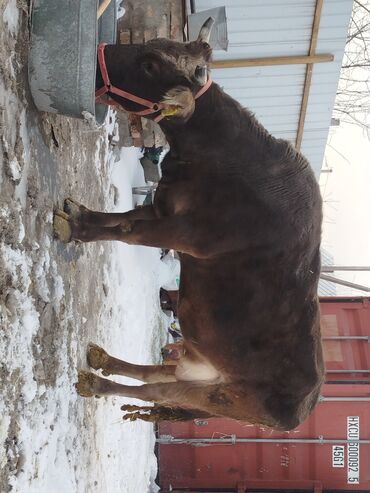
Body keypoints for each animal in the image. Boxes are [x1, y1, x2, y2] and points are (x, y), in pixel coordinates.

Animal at [54, 19, 324, 428]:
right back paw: (105, 360)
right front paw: (82, 214)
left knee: (156, 391)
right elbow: (120, 221)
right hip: (194, 364)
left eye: (150, 65)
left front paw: (76, 228)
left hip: (218, 397)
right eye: (151, 44)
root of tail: (303, 408)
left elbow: (127, 234)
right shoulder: (162, 208)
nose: (96, 52)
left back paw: (97, 383)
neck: (224, 158)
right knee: (155, 374)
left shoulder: (184, 233)